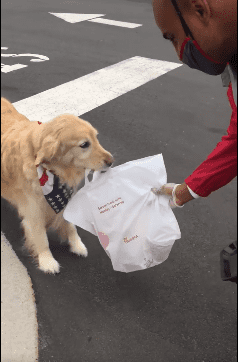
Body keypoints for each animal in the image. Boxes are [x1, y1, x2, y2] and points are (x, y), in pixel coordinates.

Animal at [0, 97, 114, 272]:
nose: (111, 161)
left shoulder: (65, 198)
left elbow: (71, 226)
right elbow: (41, 238)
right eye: (84, 144)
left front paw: (77, 244)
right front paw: (47, 261)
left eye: (96, 138)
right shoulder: (33, 211)